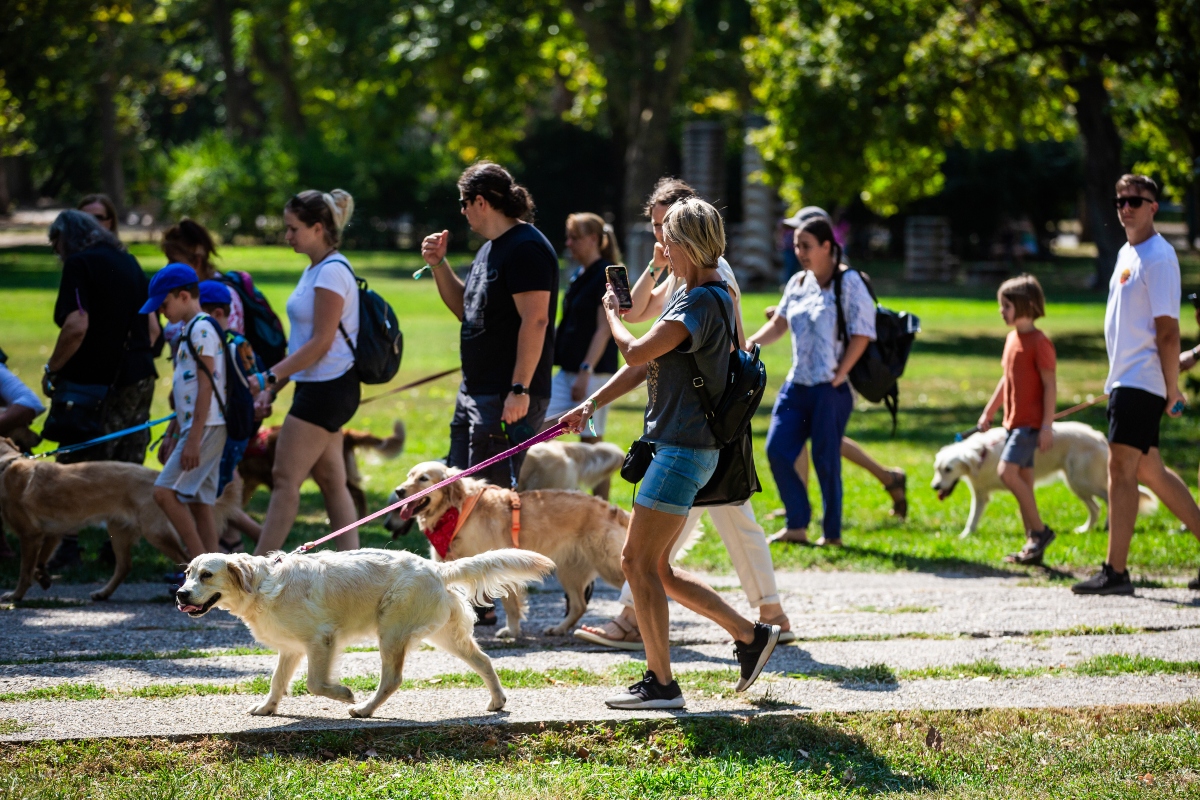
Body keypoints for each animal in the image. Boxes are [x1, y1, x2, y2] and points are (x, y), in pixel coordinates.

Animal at [0, 438, 241, 599]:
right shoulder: (54, 532)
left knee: (184, 559)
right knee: (125, 566)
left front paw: (15, 596)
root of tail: (158, 478)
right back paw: (103, 593)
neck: (6, 465)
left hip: (155, 533)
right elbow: (39, 562)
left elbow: (25, 570)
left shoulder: (30, 535)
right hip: (119, 532)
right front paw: (43, 578)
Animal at [174, 551, 552, 719]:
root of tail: (436, 567)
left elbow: (315, 683)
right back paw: (497, 701)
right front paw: (267, 707)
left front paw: (344, 694)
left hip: (391, 631)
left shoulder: (320, 639)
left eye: (207, 575)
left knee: (392, 679)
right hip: (444, 636)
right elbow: (277, 681)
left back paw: (365, 709)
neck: (261, 584)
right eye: (188, 573)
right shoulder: (292, 648)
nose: (179, 594)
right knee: (484, 660)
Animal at [384, 462, 628, 638]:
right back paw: (559, 628)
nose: (399, 491)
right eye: (409, 476)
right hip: (569, 571)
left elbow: (511, 605)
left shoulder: (500, 565)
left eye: (423, 479)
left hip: (609, 566)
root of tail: (612, 509)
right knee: (579, 605)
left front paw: (511, 631)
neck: (456, 512)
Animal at [926, 419, 1152, 537]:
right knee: (1095, 507)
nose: (935, 486)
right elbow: (973, 518)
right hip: (1076, 485)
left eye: (948, 469)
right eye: (937, 469)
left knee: (1107, 499)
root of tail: (1100, 437)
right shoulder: (981, 494)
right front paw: (966, 535)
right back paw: (1085, 529)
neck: (982, 453)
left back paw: (1108, 526)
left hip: (1081, 481)